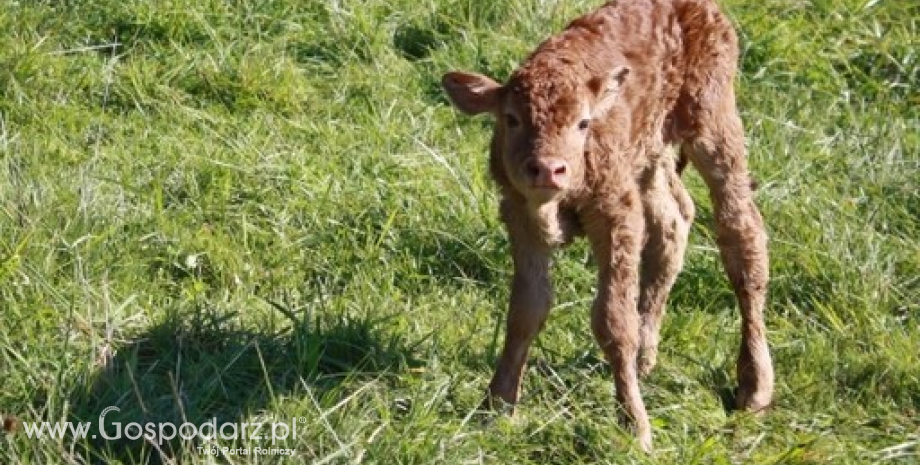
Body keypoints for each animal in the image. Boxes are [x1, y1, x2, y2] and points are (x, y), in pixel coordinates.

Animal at [442, 0, 772, 452]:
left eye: (583, 123)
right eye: (510, 119)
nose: (548, 169)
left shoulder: (615, 216)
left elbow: (614, 320)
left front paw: (634, 427)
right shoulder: (521, 218)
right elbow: (526, 310)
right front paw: (496, 406)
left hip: (715, 124)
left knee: (742, 236)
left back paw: (754, 387)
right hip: (651, 156)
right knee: (673, 220)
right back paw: (647, 358)